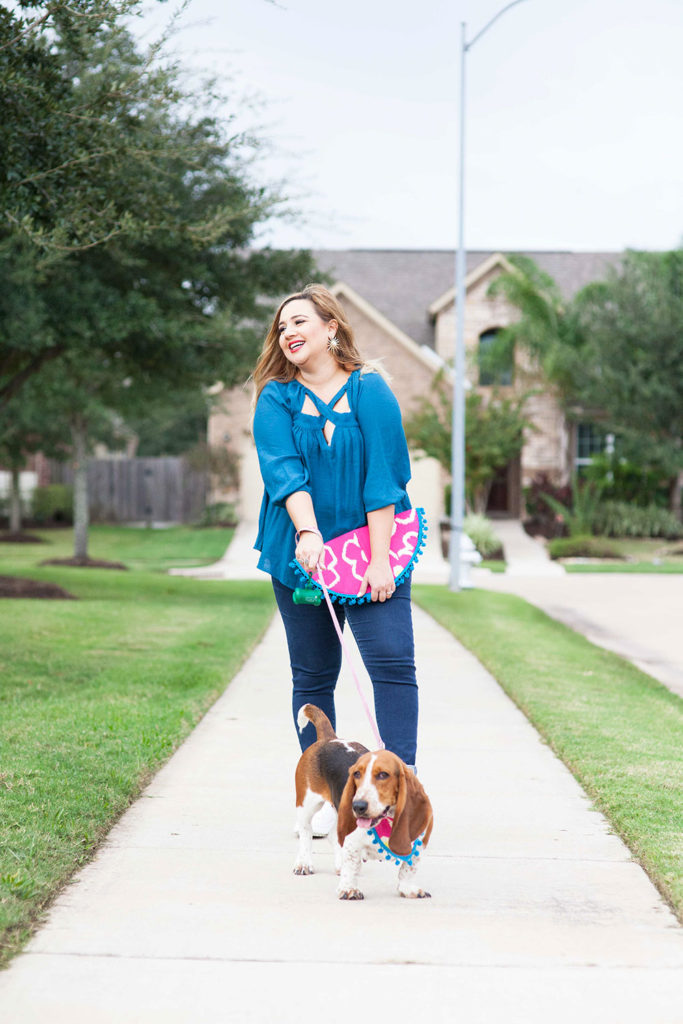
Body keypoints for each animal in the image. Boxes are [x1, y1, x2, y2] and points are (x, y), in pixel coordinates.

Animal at [292, 704, 432, 897]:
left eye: (383, 775)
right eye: (356, 774)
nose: (357, 806)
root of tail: (330, 739)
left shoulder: (418, 844)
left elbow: (408, 868)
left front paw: (408, 888)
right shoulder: (352, 841)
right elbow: (351, 864)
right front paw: (348, 888)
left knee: (334, 836)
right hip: (306, 803)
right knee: (306, 832)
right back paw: (304, 863)